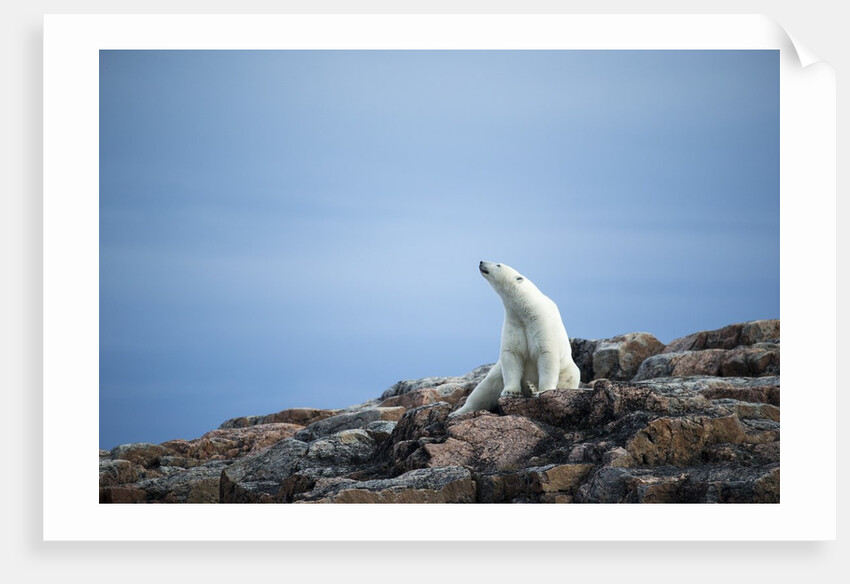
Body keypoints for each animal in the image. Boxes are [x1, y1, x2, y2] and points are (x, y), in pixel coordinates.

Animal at [451, 261, 581, 416]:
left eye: (498, 264)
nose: (482, 262)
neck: (528, 310)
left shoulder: (542, 324)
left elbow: (546, 354)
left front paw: (542, 391)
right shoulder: (514, 323)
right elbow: (512, 353)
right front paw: (511, 392)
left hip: (569, 371)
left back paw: (532, 388)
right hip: (497, 373)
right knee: (484, 389)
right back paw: (457, 412)